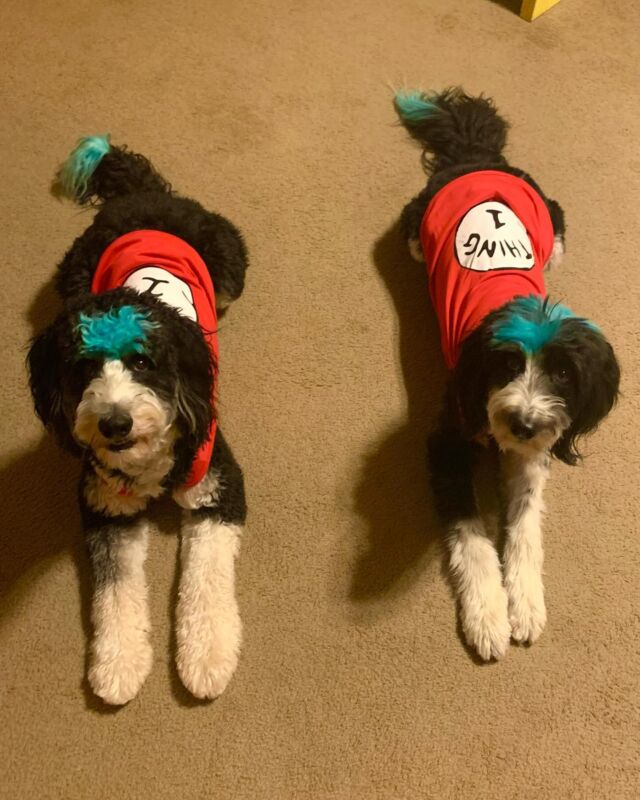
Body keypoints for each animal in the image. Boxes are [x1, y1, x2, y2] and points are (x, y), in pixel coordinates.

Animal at [30, 138, 250, 708]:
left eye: (144, 361)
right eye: (83, 368)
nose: (114, 423)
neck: (149, 460)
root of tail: (143, 195)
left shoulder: (219, 487)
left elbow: (206, 576)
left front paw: (206, 658)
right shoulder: (105, 506)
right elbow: (115, 589)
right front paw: (118, 665)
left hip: (230, 258)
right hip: (73, 269)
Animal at [396, 87, 620, 664]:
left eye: (563, 374)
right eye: (507, 365)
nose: (522, 424)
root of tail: (479, 158)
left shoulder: (531, 454)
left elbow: (523, 525)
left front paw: (526, 604)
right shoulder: (448, 439)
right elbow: (472, 535)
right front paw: (488, 615)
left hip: (551, 212)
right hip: (419, 216)